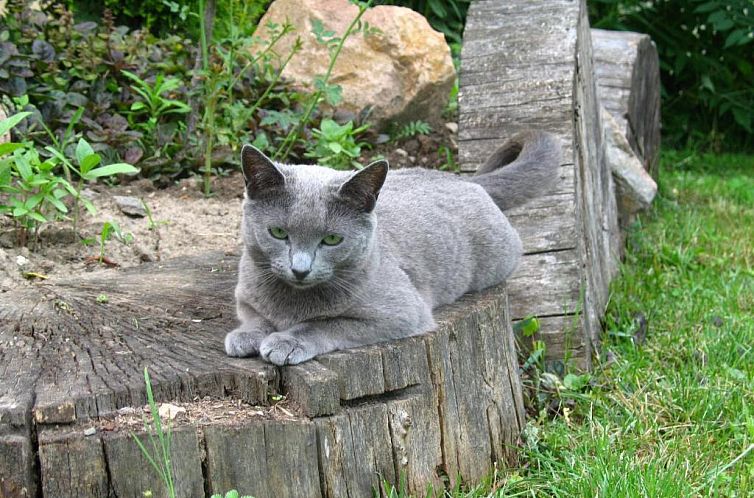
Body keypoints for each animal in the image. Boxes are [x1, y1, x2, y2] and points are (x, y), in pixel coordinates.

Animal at [223, 131, 560, 366]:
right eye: (278, 233)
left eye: (331, 240)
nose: (300, 269)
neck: (291, 302)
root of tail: (467, 180)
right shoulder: (245, 294)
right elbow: (255, 315)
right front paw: (247, 335)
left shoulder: (401, 313)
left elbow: (326, 323)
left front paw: (286, 342)